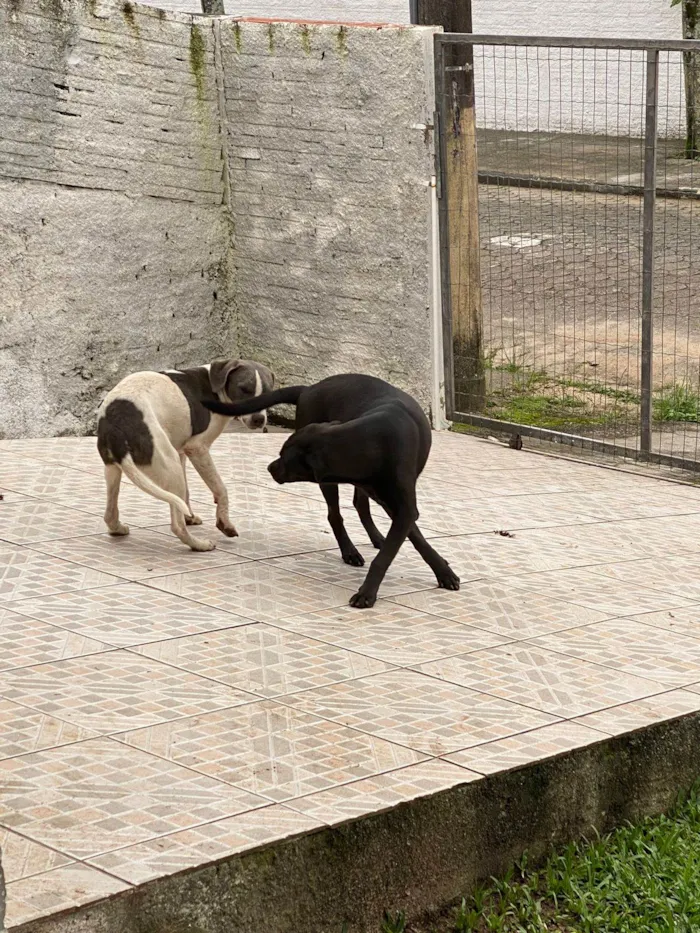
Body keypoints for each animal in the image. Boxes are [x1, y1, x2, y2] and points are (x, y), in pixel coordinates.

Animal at [95, 354, 274, 548]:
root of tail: (115, 422)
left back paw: (118, 528)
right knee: (177, 526)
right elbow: (221, 488)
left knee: (109, 514)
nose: (259, 419)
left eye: (268, 393)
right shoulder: (197, 449)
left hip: (114, 469)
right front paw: (224, 522)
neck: (215, 387)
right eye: (243, 389)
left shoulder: (181, 452)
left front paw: (190, 516)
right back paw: (199, 545)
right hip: (169, 464)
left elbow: (187, 493)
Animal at [204, 374, 460, 608]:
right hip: (331, 482)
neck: (369, 442)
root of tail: (308, 388)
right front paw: (368, 592)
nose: (269, 468)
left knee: (359, 505)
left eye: (285, 457)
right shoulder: (393, 503)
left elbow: (401, 545)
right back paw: (350, 551)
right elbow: (402, 542)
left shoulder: (404, 507)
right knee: (335, 515)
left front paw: (443, 572)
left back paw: (376, 537)